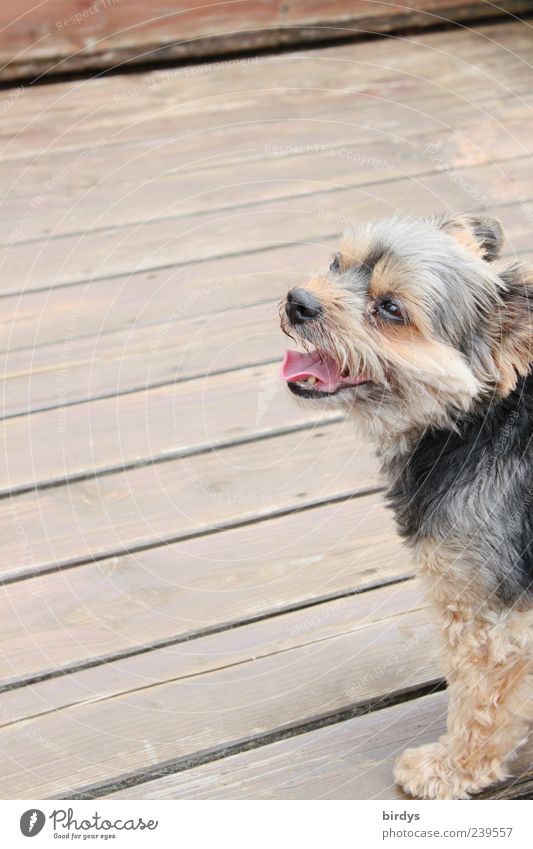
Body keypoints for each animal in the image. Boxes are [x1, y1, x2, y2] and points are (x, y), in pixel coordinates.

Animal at [278, 215, 532, 800]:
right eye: (337, 263)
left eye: (391, 309)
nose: (299, 300)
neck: (471, 423)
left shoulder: (486, 611)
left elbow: (480, 699)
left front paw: (451, 769)